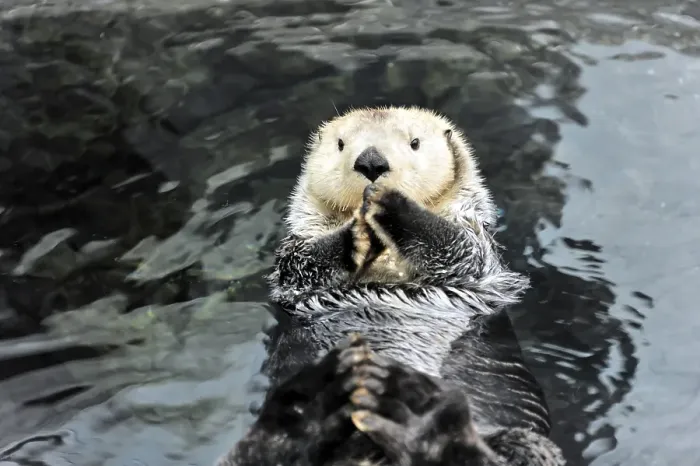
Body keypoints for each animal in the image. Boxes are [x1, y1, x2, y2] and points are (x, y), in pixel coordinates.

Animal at [217, 106, 565, 466]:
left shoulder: (478, 250)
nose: (371, 162)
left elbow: (458, 250)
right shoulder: (292, 260)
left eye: (415, 143)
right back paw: (316, 406)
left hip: (520, 440)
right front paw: (353, 235)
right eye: (341, 144)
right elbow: (300, 265)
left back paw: (415, 416)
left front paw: (393, 206)